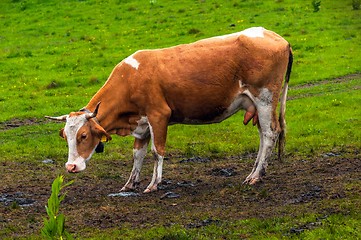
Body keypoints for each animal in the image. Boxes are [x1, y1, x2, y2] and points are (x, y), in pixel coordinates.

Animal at [45, 26, 292, 193]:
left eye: (83, 136)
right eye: (65, 136)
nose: (70, 167)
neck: (131, 79)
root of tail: (275, 37)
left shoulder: (159, 116)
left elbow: (157, 151)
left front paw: (154, 183)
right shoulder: (141, 124)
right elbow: (137, 154)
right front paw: (130, 183)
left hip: (265, 99)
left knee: (270, 134)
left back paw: (257, 176)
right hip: (256, 105)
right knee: (263, 136)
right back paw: (254, 172)